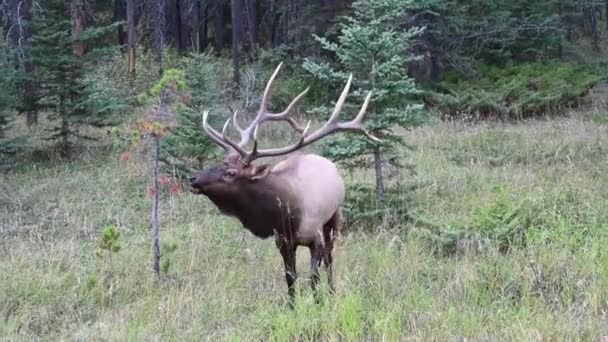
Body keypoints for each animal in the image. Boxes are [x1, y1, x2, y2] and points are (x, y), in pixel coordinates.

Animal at [190, 62, 380, 304]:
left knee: (330, 260)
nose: (193, 178)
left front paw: (319, 303)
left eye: (231, 172)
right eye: (218, 163)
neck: (285, 216)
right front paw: (292, 306)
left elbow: (313, 276)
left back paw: (332, 291)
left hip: (334, 218)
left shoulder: (315, 236)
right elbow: (290, 277)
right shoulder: (282, 241)